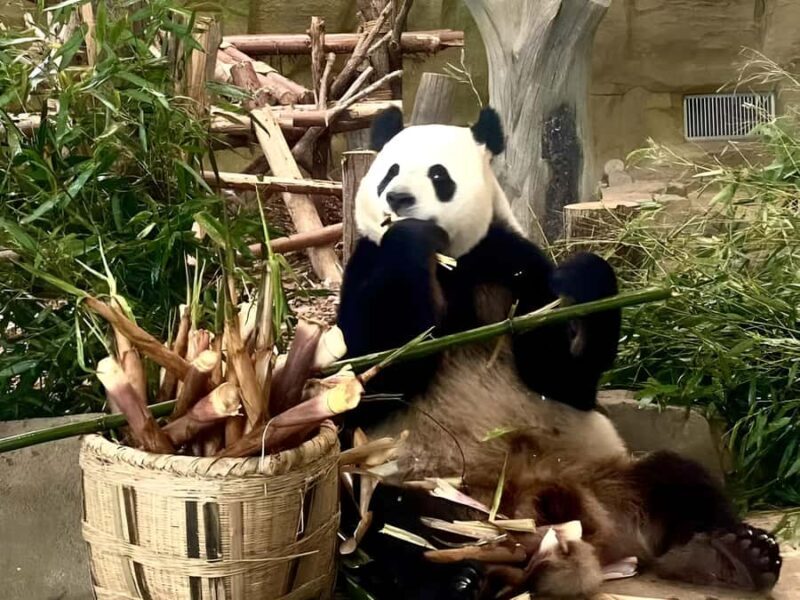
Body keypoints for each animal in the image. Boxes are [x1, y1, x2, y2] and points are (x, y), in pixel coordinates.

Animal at [335, 105, 782, 599]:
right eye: (389, 172)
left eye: (438, 175)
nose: (398, 199)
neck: (453, 262)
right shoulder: (368, 265)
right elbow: (369, 375)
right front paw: (410, 238)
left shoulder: (516, 264)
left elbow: (559, 376)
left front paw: (583, 277)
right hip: (421, 484)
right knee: (383, 523)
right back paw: (458, 579)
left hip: (605, 474)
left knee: (679, 479)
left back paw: (733, 554)